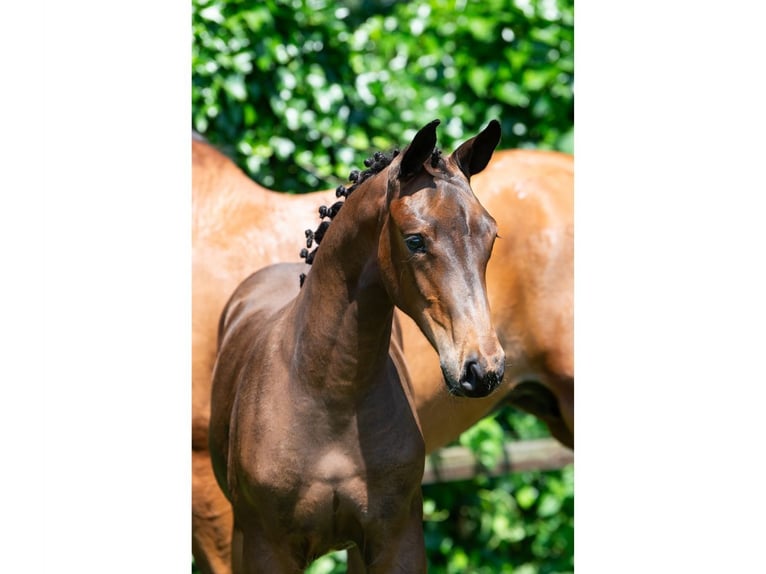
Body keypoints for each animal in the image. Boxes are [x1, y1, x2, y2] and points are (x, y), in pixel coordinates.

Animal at [192, 129, 573, 574]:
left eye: (491, 236)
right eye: (415, 240)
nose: (483, 370)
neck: (329, 394)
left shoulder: (396, 539)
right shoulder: (261, 544)